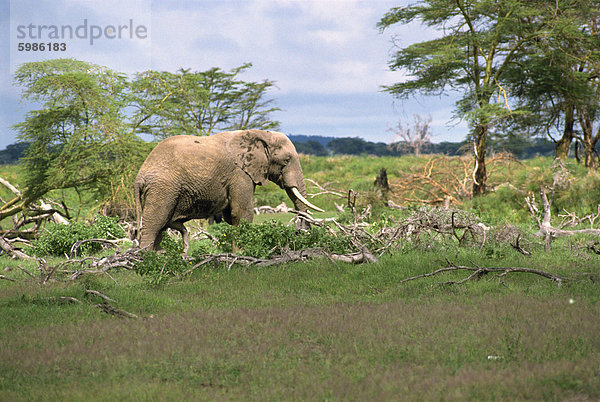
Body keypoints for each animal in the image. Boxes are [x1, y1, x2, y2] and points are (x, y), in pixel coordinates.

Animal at [133, 130, 322, 253]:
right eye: (287, 160)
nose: (300, 231)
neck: (259, 134)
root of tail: (139, 177)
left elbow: (231, 216)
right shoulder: (240, 173)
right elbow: (241, 213)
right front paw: (241, 255)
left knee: (161, 227)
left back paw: (160, 257)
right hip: (162, 189)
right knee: (154, 224)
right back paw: (146, 261)